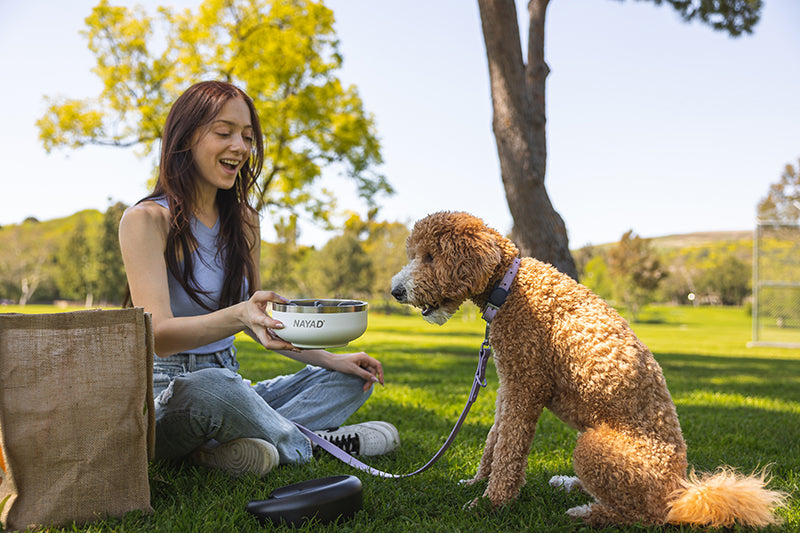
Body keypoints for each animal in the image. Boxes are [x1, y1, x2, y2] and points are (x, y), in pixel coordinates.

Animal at [390, 212, 784, 528]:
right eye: (416, 255)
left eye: (430, 257)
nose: (395, 290)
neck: (509, 283)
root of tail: (681, 492)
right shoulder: (509, 384)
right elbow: (494, 439)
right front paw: (477, 483)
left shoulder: (525, 386)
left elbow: (509, 450)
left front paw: (491, 503)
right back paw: (569, 485)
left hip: (594, 448)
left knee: (644, 516)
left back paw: (586, 513)